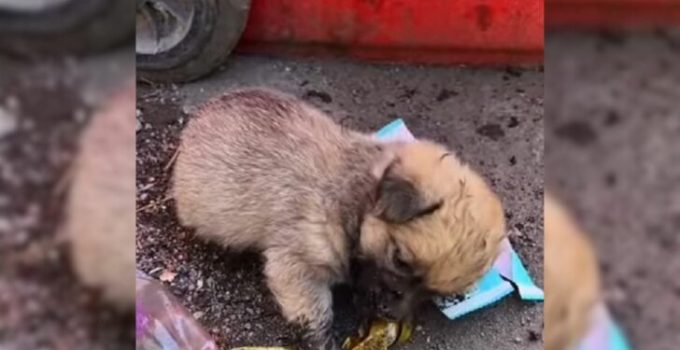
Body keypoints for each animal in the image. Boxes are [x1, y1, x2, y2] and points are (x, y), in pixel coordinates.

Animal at [173, 89, 508, 348]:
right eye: (400, 260)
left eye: (433, 295)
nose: (390, 312)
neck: (354, 195)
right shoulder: (298, 267)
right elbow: (316, 313)